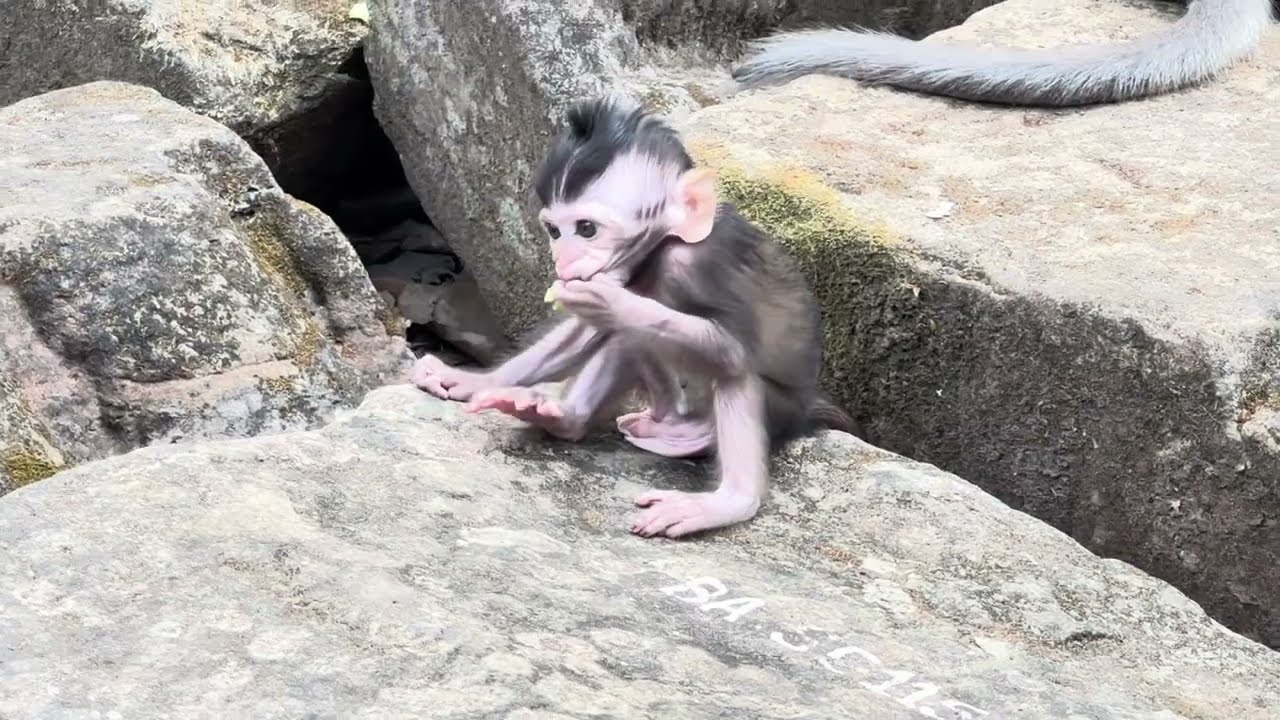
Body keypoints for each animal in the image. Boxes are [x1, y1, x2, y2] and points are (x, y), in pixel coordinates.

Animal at [412, 97, 858, 539]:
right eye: (555, 232)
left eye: (586, 229)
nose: (562, 261)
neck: (662, 248)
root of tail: (806, 410)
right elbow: (586, 331)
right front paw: (472, 380)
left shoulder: (701, 265)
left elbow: (732, 350)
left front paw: (611, 302)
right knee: (630, 341)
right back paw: (569, 419)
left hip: (778, 410)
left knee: (733, 370)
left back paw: (729, 501)